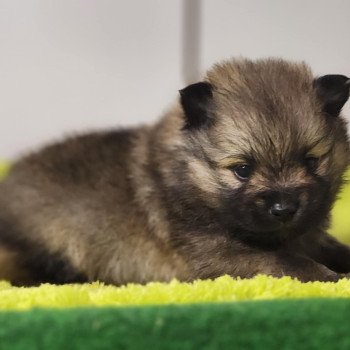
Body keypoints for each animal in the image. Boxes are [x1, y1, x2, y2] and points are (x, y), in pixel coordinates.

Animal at [0, 58, 350, 288]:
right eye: (242, 170)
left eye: (311, 161)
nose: (284, 209)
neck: (188, 174)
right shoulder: (217, 254)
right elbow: (280, 260)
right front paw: (328, 276)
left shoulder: (309, 235)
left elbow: (329, 247)